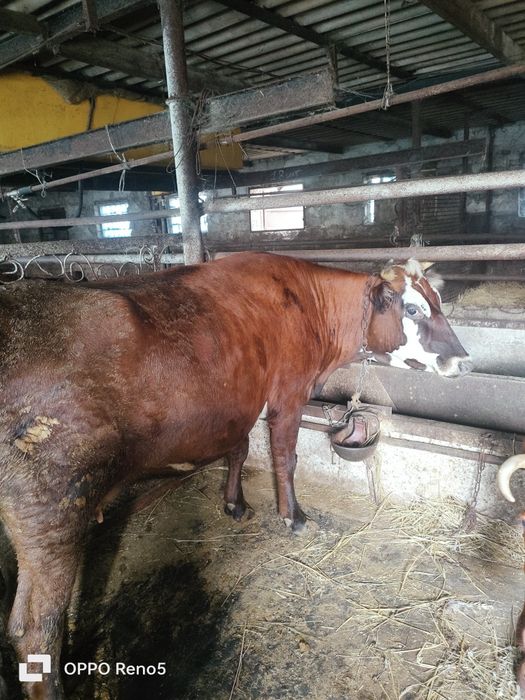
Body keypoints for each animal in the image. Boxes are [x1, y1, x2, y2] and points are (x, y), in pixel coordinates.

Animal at [0, 252, 471, 699]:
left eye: (438, 300)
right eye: (412, 308)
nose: (463, 361)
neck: (311, 305)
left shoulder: (239, 403)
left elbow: (239, 451)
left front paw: (235, 503)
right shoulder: (288, 391)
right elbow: (284, 455)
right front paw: (293, 516)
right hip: (54, 508)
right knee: (35, 628)